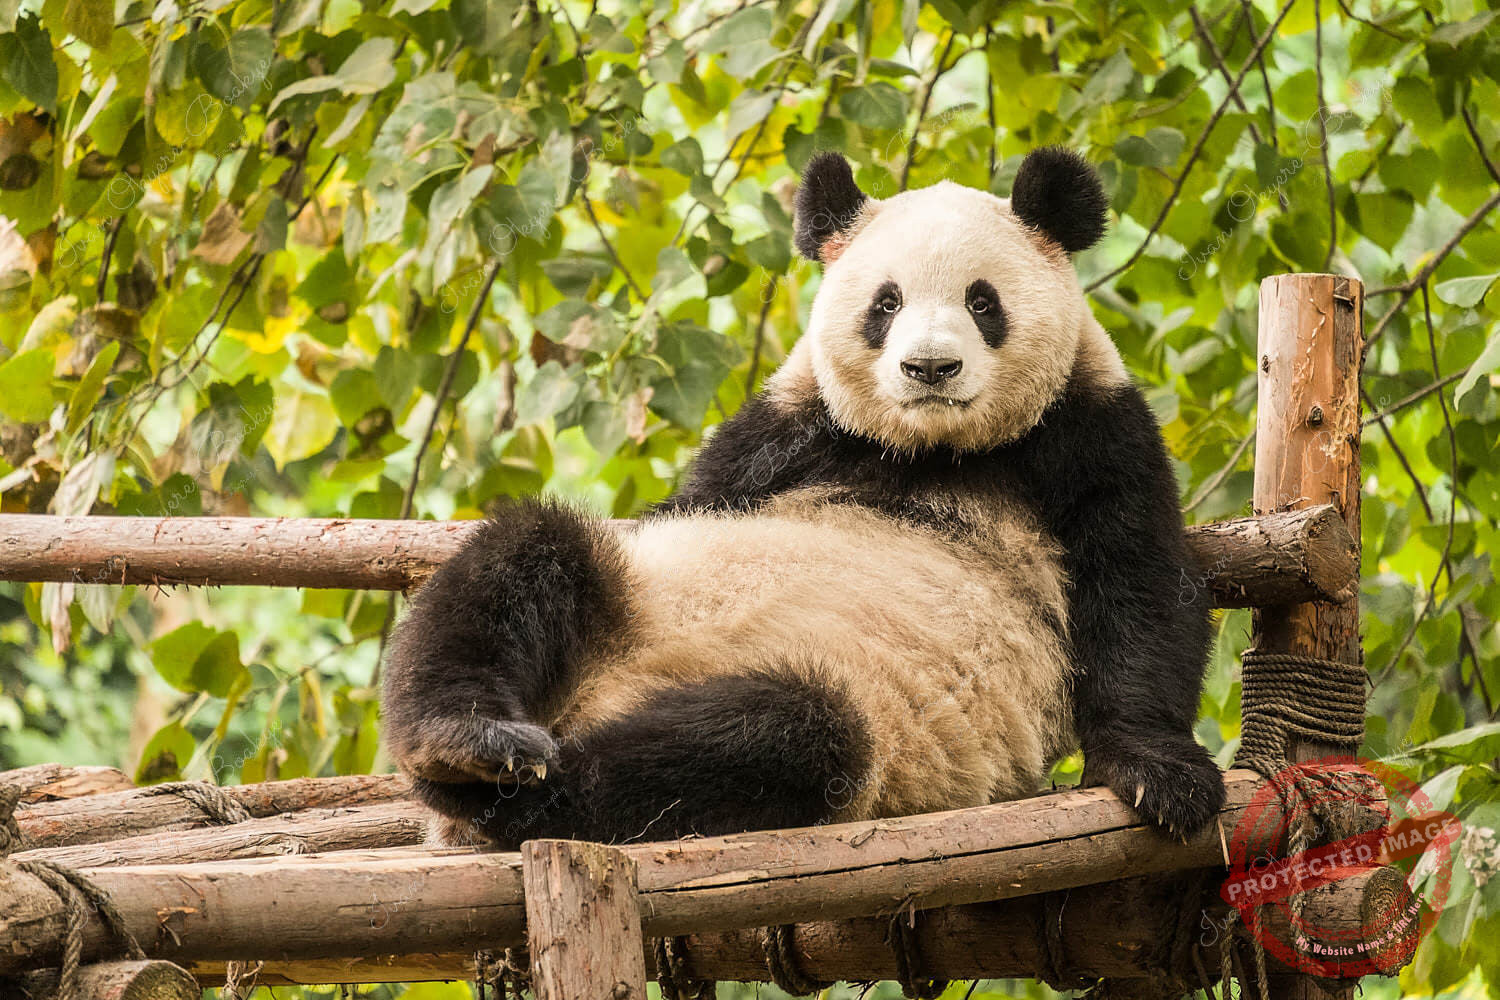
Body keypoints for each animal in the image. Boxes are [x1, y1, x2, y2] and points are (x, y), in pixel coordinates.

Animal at [382, 147, 1226, 850]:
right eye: (886, 304)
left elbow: (1141, 587)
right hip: (628, 593)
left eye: (983, 302)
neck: (932, 451)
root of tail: (591, 704)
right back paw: (470, 747)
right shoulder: (778, 434)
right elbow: (686, 503)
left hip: (853, 709)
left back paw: (501, 795)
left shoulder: (1094, 430)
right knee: (525, 563)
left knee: (772, 739)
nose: (929, 368)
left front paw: (1160, 773)